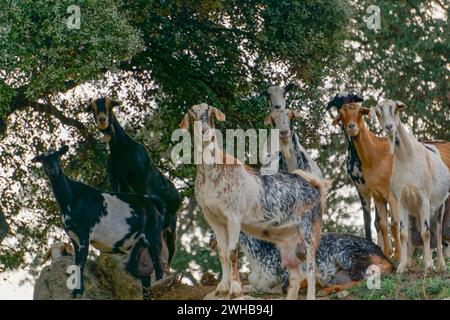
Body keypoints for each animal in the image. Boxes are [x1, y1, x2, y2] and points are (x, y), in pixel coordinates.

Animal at [32, 146, 165, 298]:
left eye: (58, 156)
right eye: (43, 159)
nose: (52, 169)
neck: (71, 198)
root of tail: (151, 202)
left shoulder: (85, 233)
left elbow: (81, 264)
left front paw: (78, 292)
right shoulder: (73, 237)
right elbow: (77, 263)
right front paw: (77, 291)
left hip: (153, 236)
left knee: (158, 266)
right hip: (138, 244)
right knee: (144, 275)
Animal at [87, 98, 180, 270]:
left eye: (110, 106)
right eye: (93, 109)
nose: (102, 120)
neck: (121, 150)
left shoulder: (142, 182)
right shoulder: (115, 181)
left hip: (171, 227)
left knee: (170, 250)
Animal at [180, 103, 330, 300]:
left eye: (210, 112)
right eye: (192, 114)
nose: (206, 132)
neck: (211, 172)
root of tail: (315, 187)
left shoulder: (234, 216)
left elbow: (232, 252)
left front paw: (235, 289)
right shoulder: (214, 219)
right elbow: (222, 252)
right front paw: (222, 287)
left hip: (310, 230)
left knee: (311, 270)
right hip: (287, 239)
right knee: (296, 275)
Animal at [330, 103, 400, 260]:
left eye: (360, 112)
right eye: (341, 115)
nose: (351, 127)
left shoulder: (392, 196)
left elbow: (394, 224)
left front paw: (398, 256)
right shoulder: (375, 194)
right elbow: (382, 224)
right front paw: (387, 254)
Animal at [372, 100, 450, 272]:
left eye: (395, 109)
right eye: (378, 112)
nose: (389, 127)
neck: (407, 158)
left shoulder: (424, 198)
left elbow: (426, 232)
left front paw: (428, 266)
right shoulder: (401, 200)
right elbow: (403, 234)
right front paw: (402, 266)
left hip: (439, 207)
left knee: (438, 232)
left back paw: (441, 264)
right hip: (414, 212)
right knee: (413, 230)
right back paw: (410, 261)